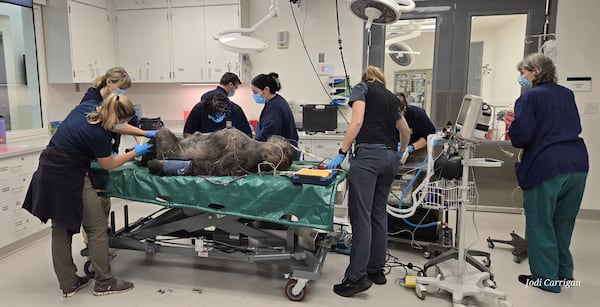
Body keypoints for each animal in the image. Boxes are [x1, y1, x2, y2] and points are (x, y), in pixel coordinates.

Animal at [144, 127, 296, 176]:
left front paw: (156, 164)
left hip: (166, 143)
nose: (283, 137)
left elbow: (213, 168)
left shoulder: (239, 158)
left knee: (163, 132)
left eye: (285, 149)